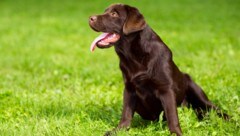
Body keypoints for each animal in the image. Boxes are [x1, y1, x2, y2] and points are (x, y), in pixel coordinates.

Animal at [88, 3, 229, 136]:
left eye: (114, 14)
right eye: (105, 11)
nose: (90, 18)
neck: (133, 55)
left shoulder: (166, 89)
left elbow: (173, 117)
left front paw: (176, 133)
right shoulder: (129, 89)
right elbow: (126, 114)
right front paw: (119, 130)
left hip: (196, 91)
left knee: (213, 108)